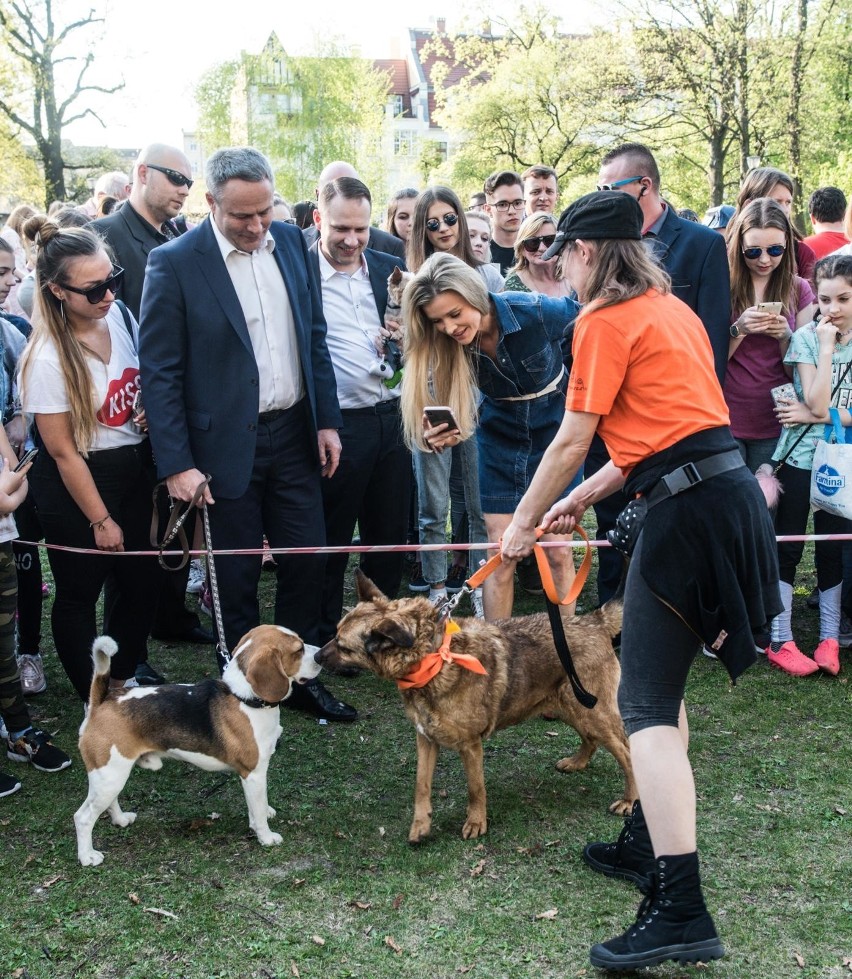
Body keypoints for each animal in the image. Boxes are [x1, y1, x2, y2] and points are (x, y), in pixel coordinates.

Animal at [316, 576, 636, 844]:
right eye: (334, 634)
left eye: (343, 647)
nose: (315, 657)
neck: (433, 658)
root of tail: (594, 621)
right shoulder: (426, 739)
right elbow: (421, 785)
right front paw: (421, 826)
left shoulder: (470, 745)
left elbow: (475, 787)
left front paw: (476, 822)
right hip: (573, 707)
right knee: (590, 739)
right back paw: (578, 762)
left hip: (594, 714)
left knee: (627, 752)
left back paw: (630, 801)